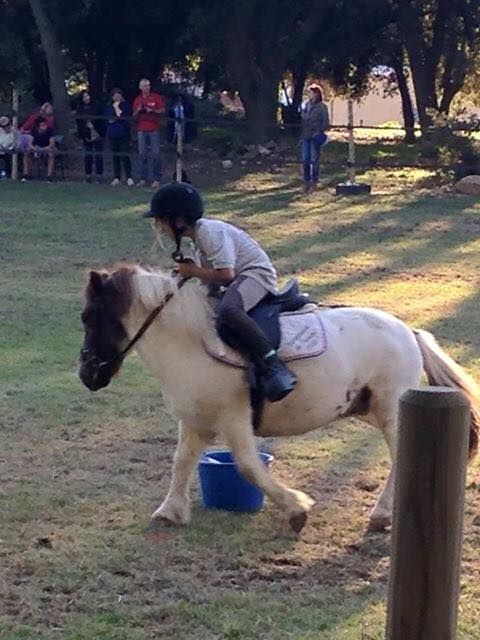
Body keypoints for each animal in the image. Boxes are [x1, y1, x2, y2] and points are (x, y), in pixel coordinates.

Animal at [78, 264, 480, 533]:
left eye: (87, 316)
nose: (86, 374)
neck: (190, 342)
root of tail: (408, 331)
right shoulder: (195, 420)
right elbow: (181, 462)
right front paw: (171, 512)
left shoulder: (233, 418)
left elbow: (249, 467)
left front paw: (296, 509)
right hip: (368, 408)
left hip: (392, 410)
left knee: (401, 456)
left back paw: (381, 515)